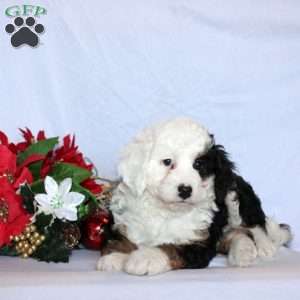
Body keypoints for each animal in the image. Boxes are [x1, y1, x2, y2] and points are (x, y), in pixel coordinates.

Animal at [97, 118, 292, 276]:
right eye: (167, 162)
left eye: (199, 165)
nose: (185, 190)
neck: (166, 211)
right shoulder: (127, 220)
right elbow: (121, 237)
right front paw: (116, 255)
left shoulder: (199, 241)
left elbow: (172, 248)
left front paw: (146, 258)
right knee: (235, 235)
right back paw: (243, 253)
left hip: (234, 195)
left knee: (253, 225)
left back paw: (263, 246)